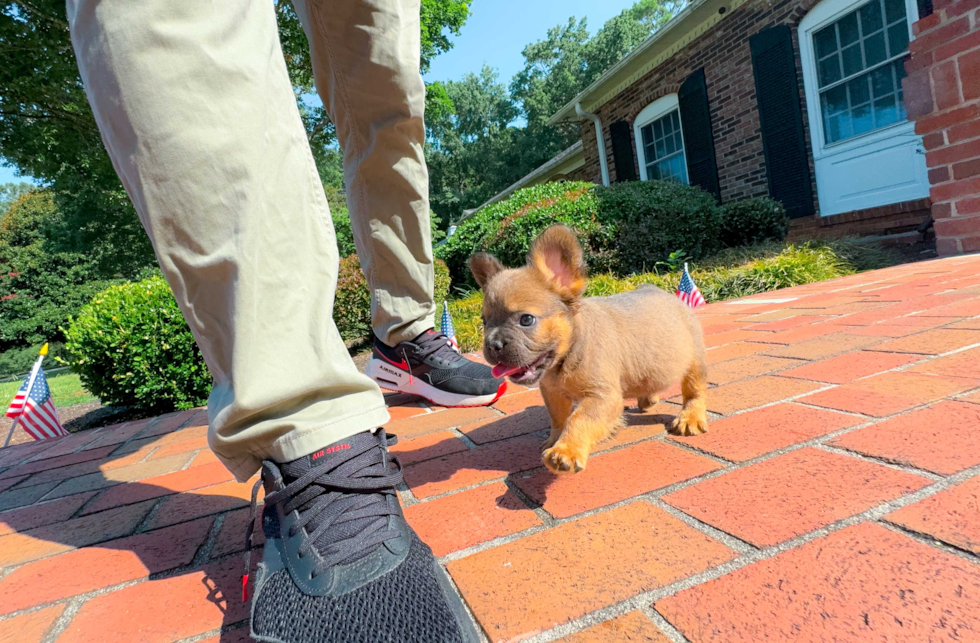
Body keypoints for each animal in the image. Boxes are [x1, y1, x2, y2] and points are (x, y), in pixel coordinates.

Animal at [468, 225, 704, 472]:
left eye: (526, 320)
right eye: (484, 322)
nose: (492, 344)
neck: (567, 356)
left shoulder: (602, 397)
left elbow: (579, 418)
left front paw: (566, 450)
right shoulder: (552, 393)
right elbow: (558, 418)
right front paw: (555, 439)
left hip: (694, 362)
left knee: (693, 390)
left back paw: (690, 418)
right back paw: (648, 399)